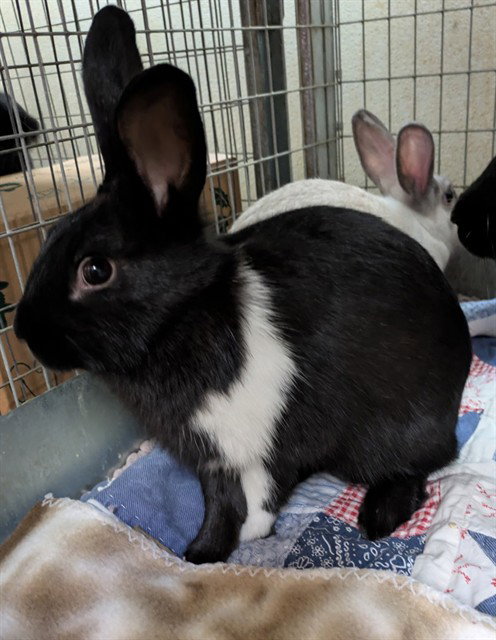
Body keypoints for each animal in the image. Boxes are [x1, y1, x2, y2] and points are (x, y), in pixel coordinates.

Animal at [14, 6, 472, 564]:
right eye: (50, 236)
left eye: (96, 270)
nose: (24, 332)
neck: (186, 317)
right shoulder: (211, 457)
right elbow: (217, 502)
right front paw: (198, 554)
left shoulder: (256, 446)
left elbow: (253, 501)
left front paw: (222, 551)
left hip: (396, 430)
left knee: (420, 466)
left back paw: (378, 516)